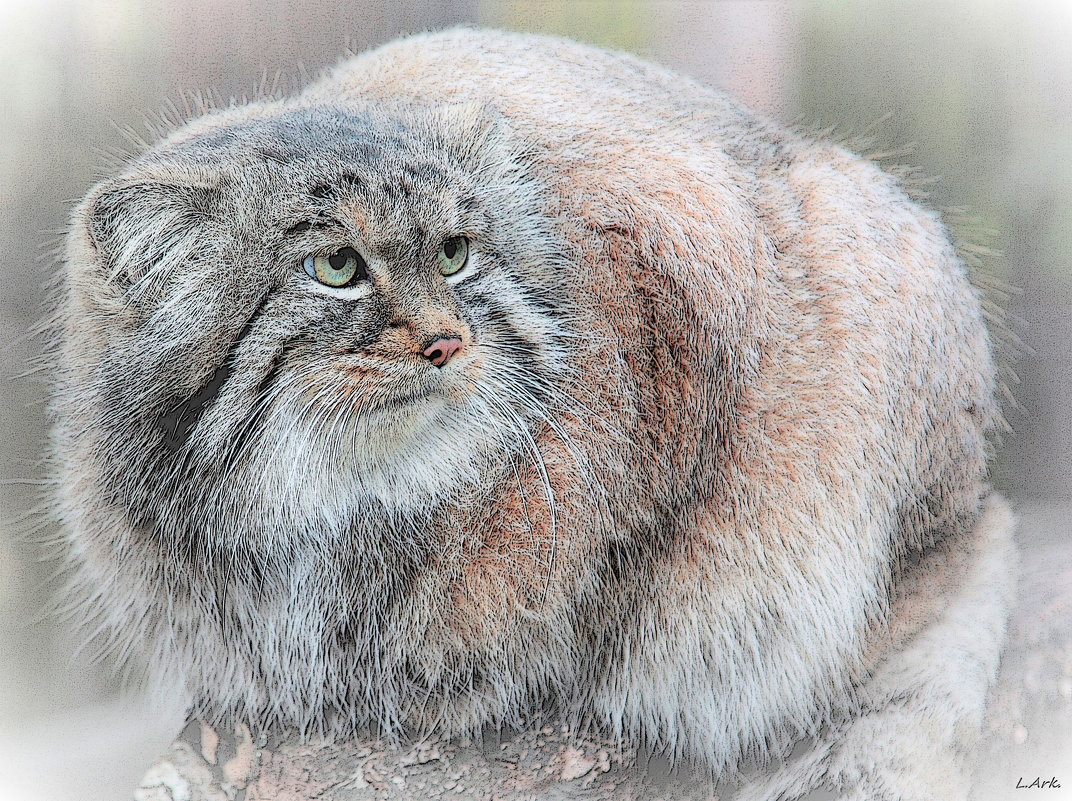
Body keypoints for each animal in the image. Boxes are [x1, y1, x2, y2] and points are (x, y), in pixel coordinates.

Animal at [50, 26, 1003, 784]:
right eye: (336, 267)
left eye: (456, 252)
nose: (447, 342)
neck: (332, 506)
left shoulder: (687, 267)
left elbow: (631, 542)